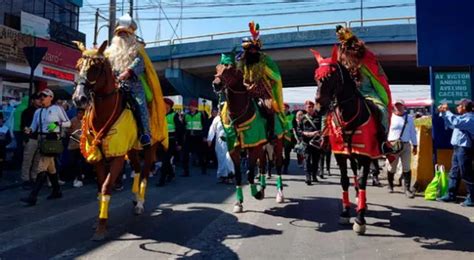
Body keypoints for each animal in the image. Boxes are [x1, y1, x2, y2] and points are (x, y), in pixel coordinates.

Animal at [74, 41, 158, 242]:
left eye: (95, 68)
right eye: (78, 66)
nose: (79, 99)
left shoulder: (118, 156)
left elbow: (106, 187)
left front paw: (101, 228)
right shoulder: (98, 158)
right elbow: (100, 188)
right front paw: (99, 220)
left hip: (148, 149)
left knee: (144, 172)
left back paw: (140, 203)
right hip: (132, 150)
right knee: (137, 169)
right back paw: (135, 198)